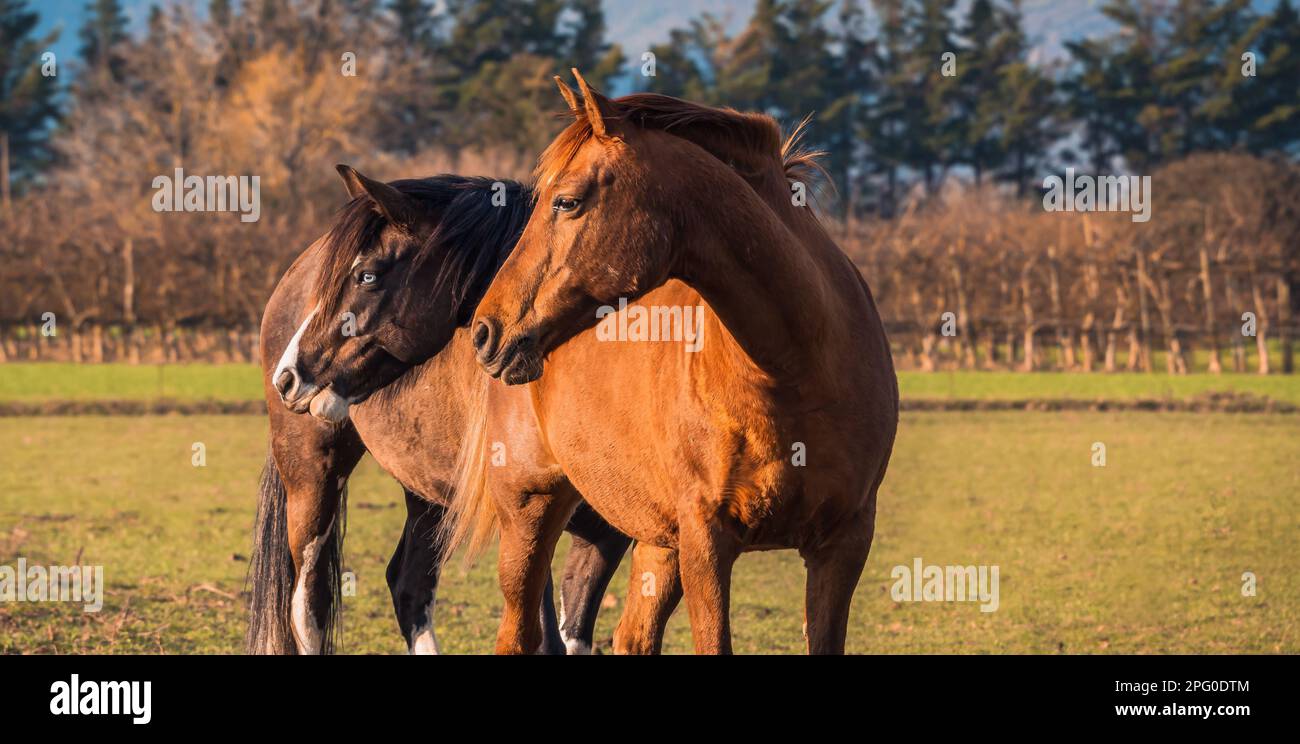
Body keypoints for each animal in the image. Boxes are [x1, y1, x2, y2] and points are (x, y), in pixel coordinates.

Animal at [245, 166, 631, 650]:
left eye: (367, 276)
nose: (288, 376)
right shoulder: (526, 516)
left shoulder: (615, 534)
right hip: (311, 472)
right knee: (307, 600)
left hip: (427, 492)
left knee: (408, 585)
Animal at [462, 72, 899, 652]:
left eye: (567, 202)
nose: (487, 330)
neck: (795, 372)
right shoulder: (706, 542)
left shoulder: (843, 543)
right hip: (531, 513)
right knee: (518, 632)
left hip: (657, 540)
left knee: (632, 636)